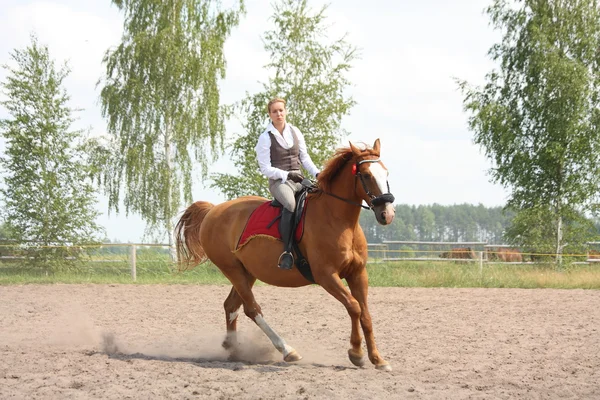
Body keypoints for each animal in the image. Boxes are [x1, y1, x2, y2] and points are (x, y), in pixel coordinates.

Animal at [176, 139, 396, 370]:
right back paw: (287, 350)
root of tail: (213, 210)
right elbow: (354, 307)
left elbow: (366, 315)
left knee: (232, 306)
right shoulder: (326, 276)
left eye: (386, 173)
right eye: (366, 175)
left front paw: (378, 359)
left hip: (246, 273)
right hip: (232, 270)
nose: (387, 214)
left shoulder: (358, 273)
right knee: (252, 309)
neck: (338, 221)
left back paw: (234, 349)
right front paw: (356, 353)